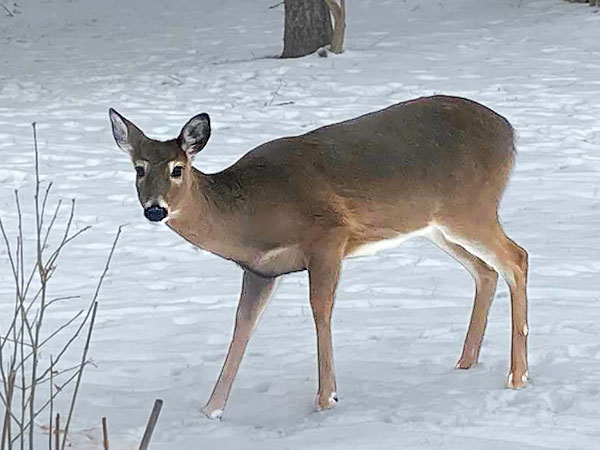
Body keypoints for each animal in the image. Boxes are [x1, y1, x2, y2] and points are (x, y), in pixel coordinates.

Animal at [109, 94, 528, 418]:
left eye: (178, 169)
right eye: (139, 169)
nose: (155, 210)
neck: (250, 213)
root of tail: (509, 132)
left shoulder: (329, 235)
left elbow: (320, 309)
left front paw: (327, 399)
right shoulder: (260, 270)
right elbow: (243, 325)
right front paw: (211, 409)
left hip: (470, 208)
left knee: (517, 258)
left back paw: (517, 376)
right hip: (437, 226)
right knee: (486, 271)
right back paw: (466, 363)